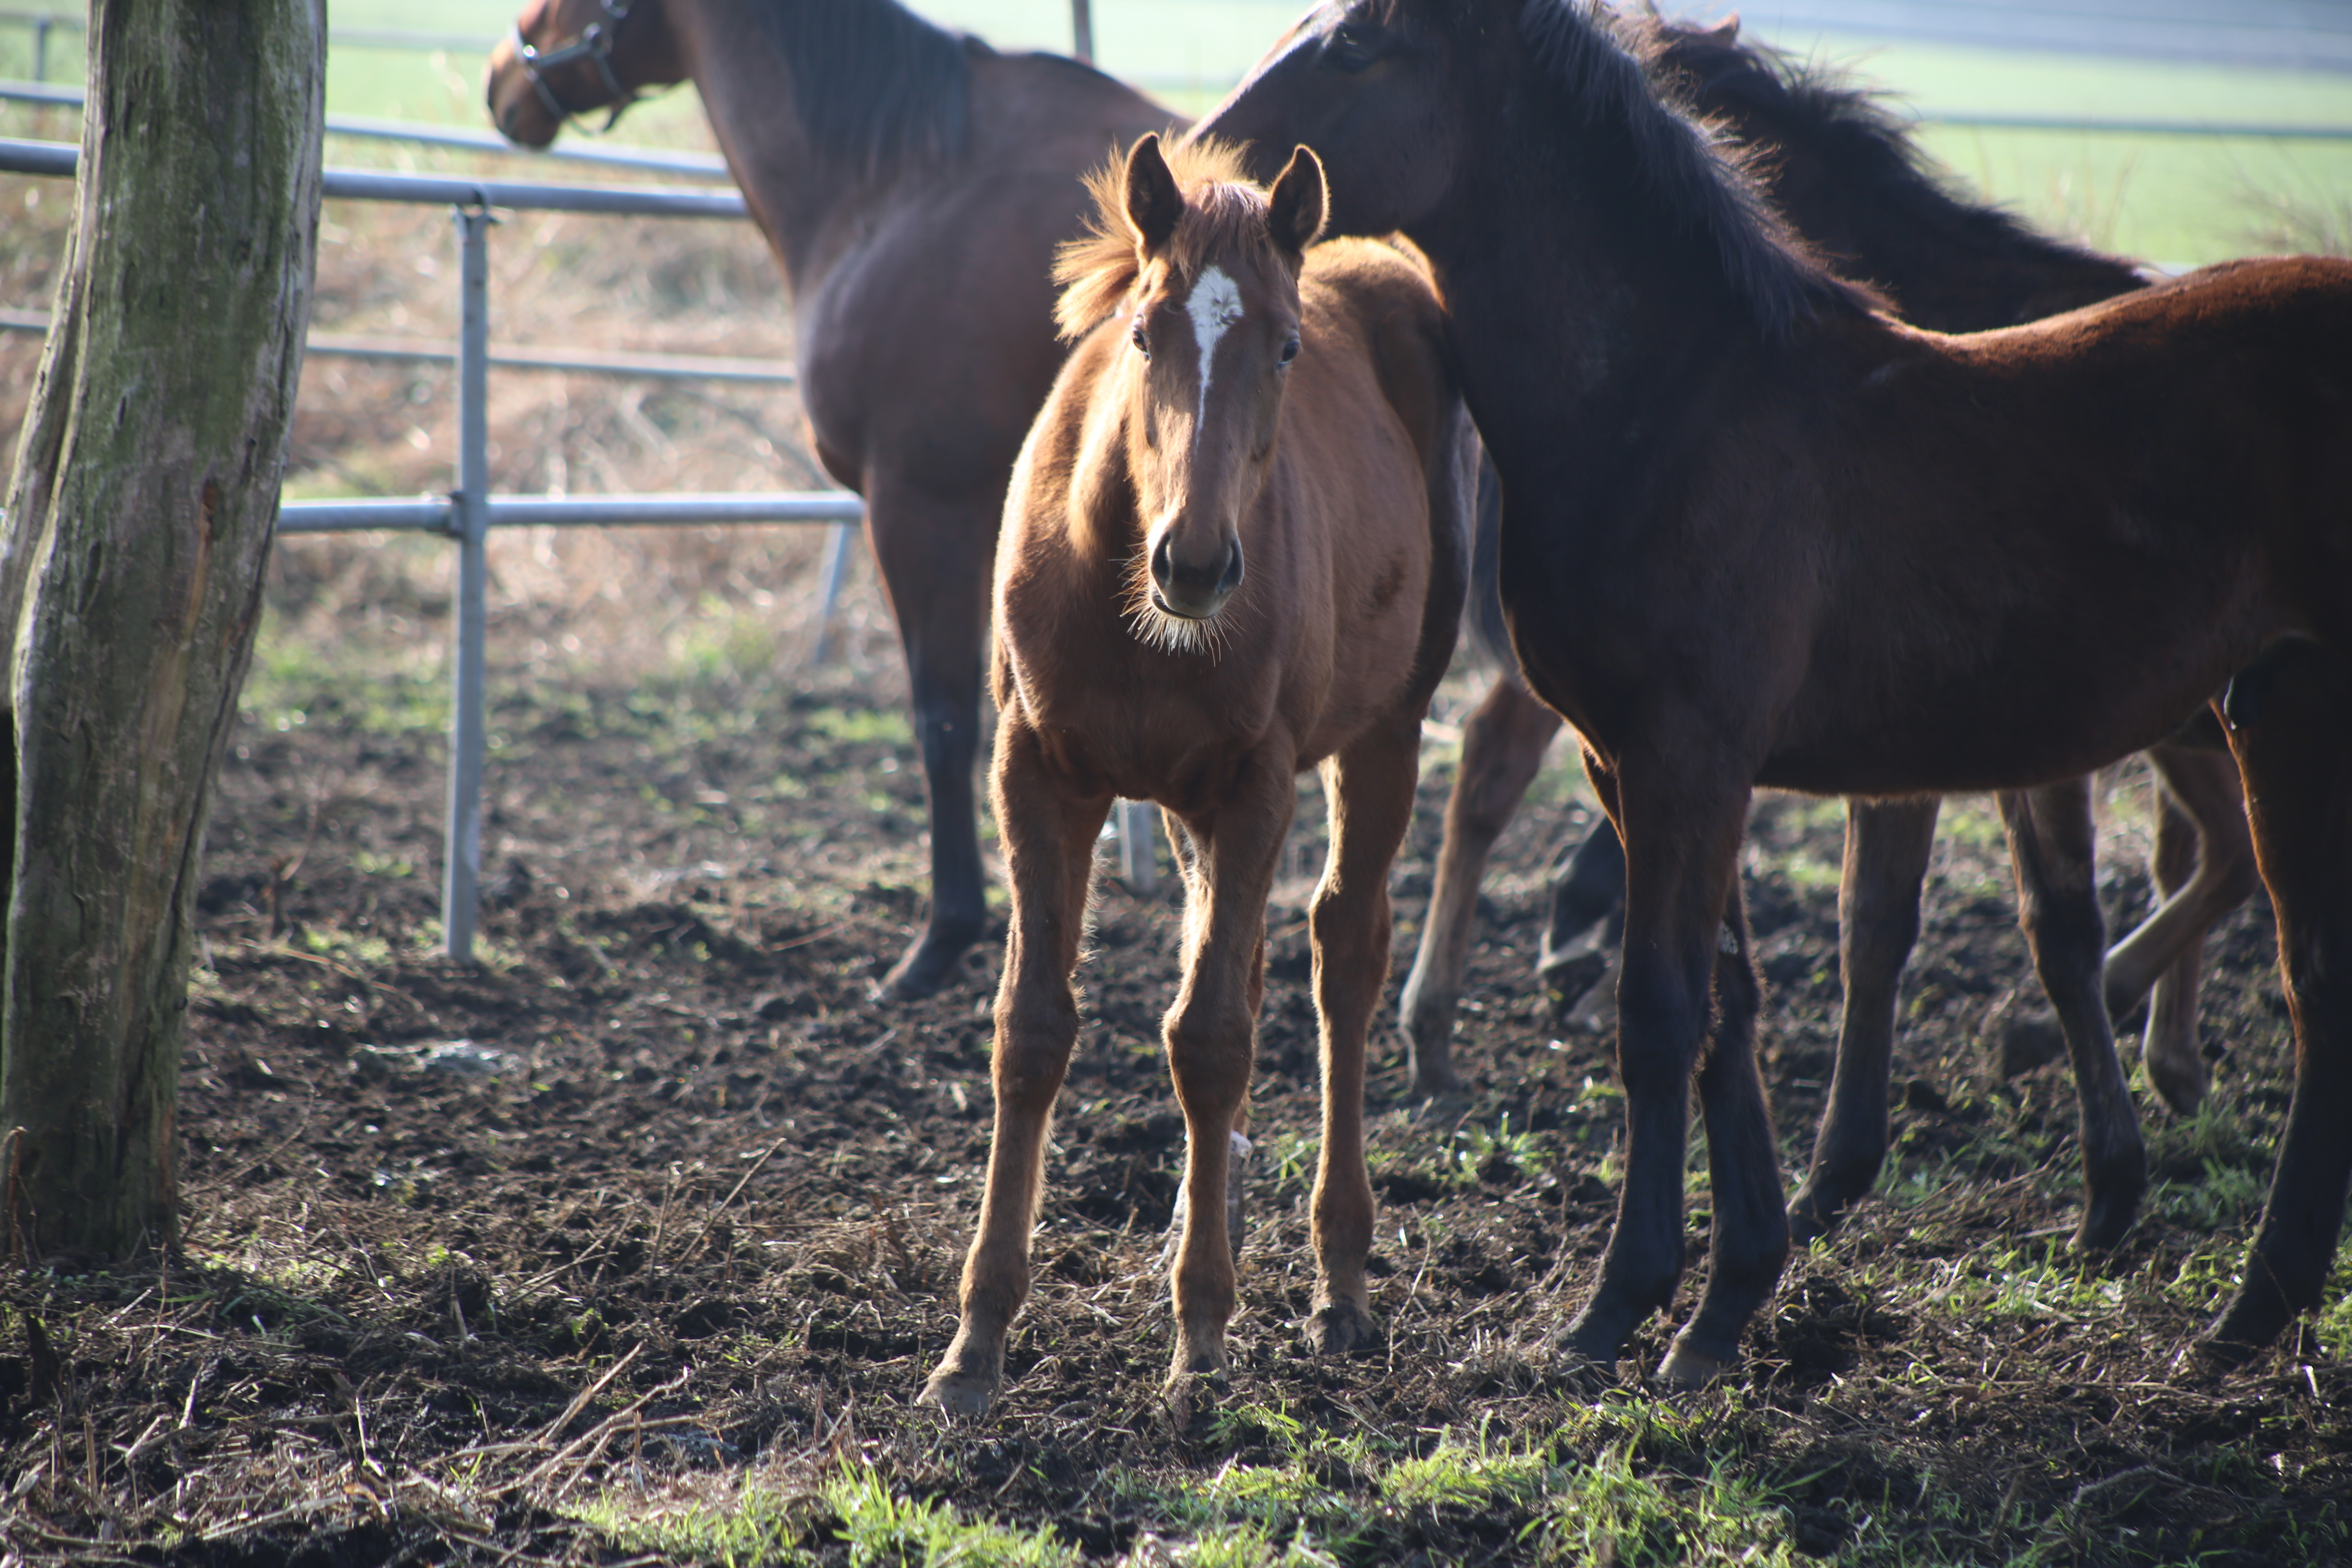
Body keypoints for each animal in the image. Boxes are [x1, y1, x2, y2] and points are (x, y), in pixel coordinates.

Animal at [917, 131, 1468, 1410]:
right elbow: (1032, 1028)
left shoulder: (1256, 784)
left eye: (1286, 346)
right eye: (1142, 331)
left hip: (1384, 731)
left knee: (1340, 957)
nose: (1197, 565)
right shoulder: (1036, 774)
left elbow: (1211, 1039)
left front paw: (1202, 1333)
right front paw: (974, 1346)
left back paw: (1338, 1279)